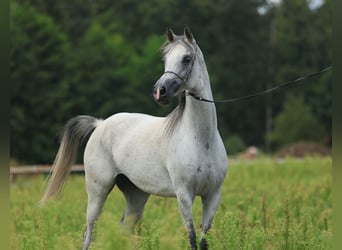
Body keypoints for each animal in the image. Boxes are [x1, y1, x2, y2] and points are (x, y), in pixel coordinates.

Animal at [42, 25, 227, 250]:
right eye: (165, 60)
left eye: (186, 58)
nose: (159, 92)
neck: (202, 140)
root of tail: (100, 124)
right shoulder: (184, 195)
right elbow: (191, 238)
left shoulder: (212, 196)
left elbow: (202, 241)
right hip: (97, 192)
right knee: (89, 234)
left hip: (136, 196)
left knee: (122, 230)